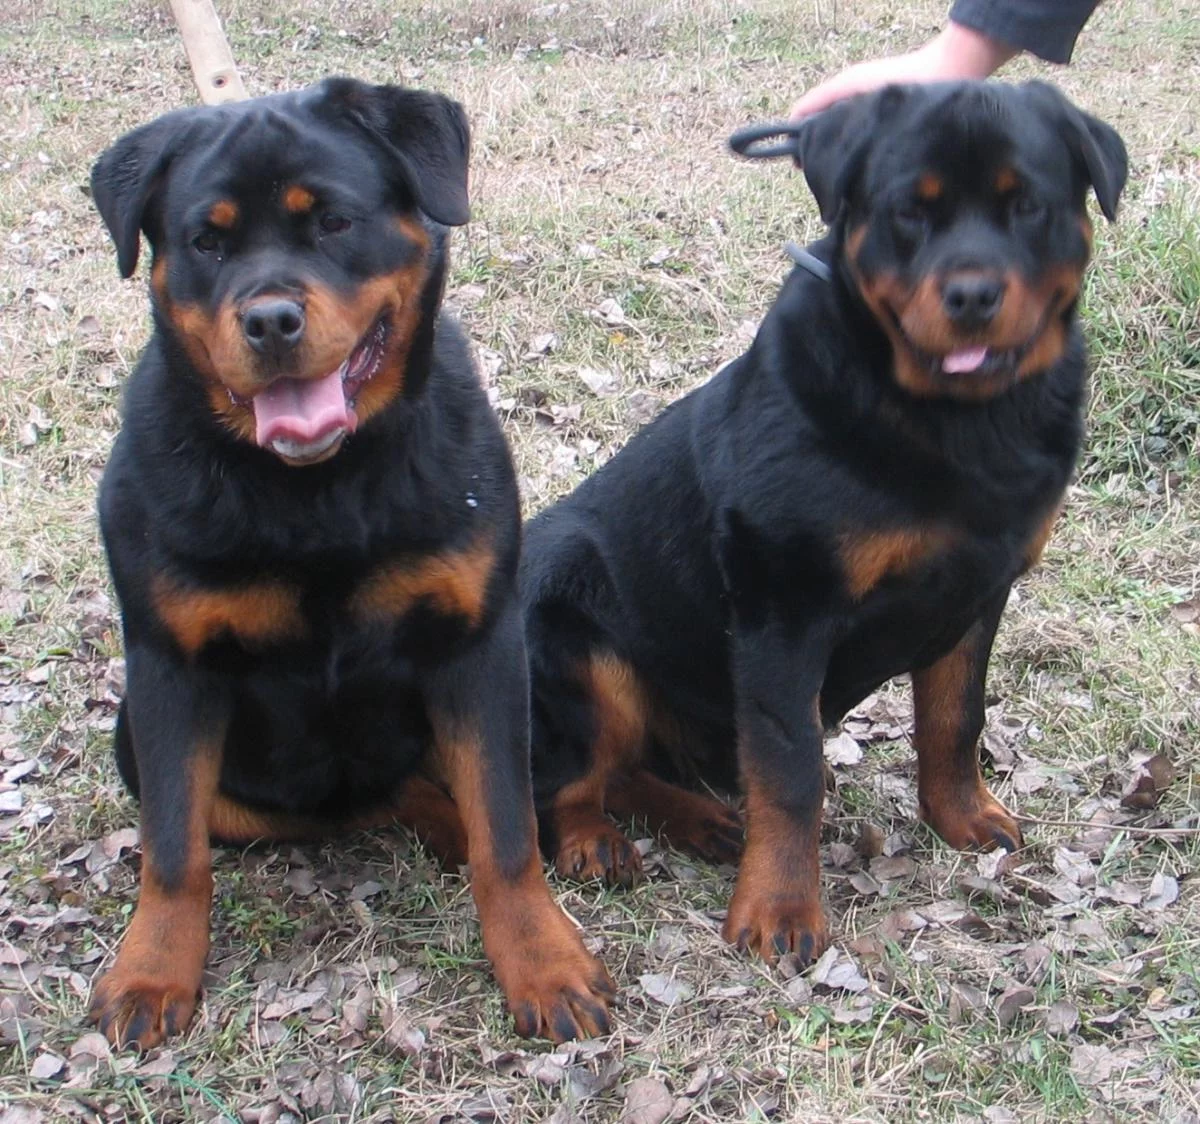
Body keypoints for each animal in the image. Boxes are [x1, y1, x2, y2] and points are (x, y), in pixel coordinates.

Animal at [87, 77, 612, 1049]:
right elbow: (173, 849)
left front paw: (541, 958)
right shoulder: (171, 667)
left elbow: (507, 831)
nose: (270, 319)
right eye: (207, 241)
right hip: (137, 733)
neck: (317, 491)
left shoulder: (478, 647)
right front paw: (151, 972)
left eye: (332, 221)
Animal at [520, 81, 1127, 964]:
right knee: (566, 777)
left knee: (629, 768)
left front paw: (961, 816)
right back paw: (594, 839)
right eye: (910, 210)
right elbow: (789, 765)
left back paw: (704, 820)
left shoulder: (977, 593)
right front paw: (780, 906)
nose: (972, 295)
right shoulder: (784, 609)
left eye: (1028, 206)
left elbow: (955, 719)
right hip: (570, 631)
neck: (956, 421)